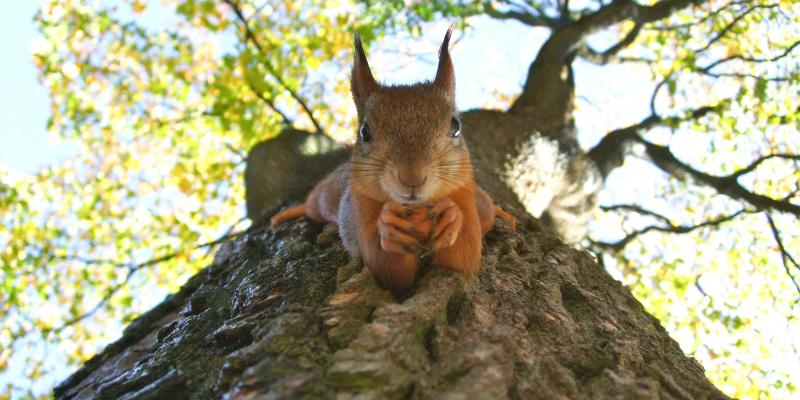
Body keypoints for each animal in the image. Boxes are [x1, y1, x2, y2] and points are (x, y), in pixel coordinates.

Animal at [272, 27, 516, 296]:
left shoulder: (464, 197)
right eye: (365, 132)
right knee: (312, 205)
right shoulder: (361, 208)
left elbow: (463, 259)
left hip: (480, 202)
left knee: (487, 208)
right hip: (326, 198)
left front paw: (451, 217)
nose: (412, 178)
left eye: (456, 126)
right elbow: (387, 270)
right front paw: (389, 226)